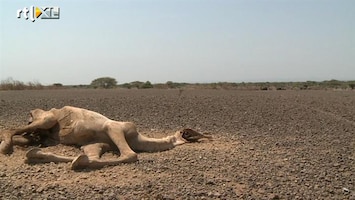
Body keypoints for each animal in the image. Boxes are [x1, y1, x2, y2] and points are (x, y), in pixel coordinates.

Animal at [0, 105, 211, 170]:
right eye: (191, 132)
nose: (206, 136)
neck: (138, 138)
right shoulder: (114, 127)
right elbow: (130, 155)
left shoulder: (97, 144)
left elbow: (90, 156)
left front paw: (35, 155)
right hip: (46, 117)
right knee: (13, 129)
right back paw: (5, 147)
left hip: (42, 135)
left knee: (29, 137)